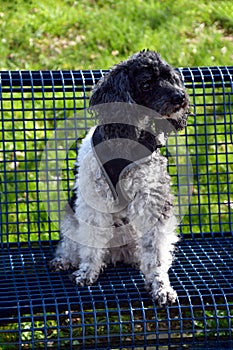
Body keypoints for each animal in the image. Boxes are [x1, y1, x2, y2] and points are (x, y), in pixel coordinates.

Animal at [49, 50, 189, 306]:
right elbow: (91, 243)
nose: (180, 97)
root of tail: (118, 253)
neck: (127, 139)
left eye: (170, 77)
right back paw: (65, 259)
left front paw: (160, 286)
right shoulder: (95, 202)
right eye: (146, 84)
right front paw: (87, 271)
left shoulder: (151, 201)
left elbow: (156, 252)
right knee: (73, 244)